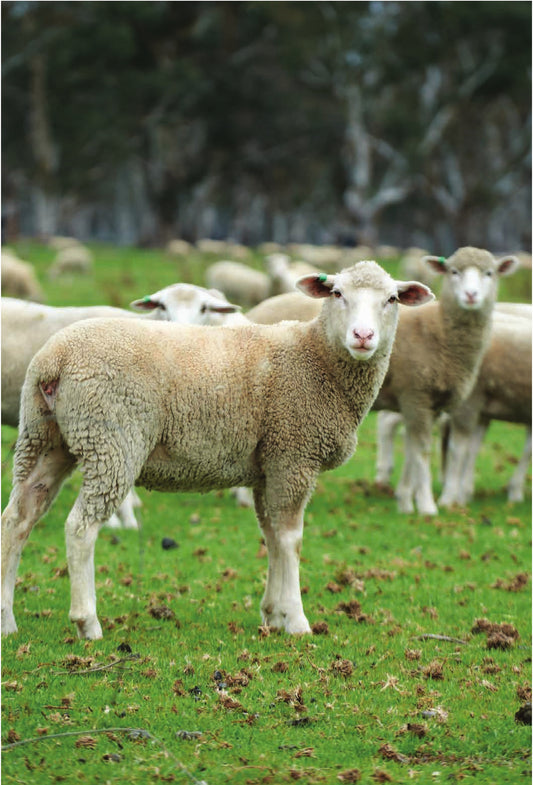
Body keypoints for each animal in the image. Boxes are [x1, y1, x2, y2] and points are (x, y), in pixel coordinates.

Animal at [1, 261, 433, 639]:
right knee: (80, 528)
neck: (316, 358)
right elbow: (290, 539)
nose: (363, 336)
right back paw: (87, 622)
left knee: (17, 519)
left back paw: (7, 621)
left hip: (45, 439)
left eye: (392, 299)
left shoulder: (269, 463)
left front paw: (271, 614)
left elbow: (271, 535)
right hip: (112, 442)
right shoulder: (294, 455)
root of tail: (55, 359)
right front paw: (296, 620)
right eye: (337, 293)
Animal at [372, 247, 520, 515]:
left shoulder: (429, 403)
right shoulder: (415, 394)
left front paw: (406, 501)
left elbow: (411, 450)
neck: (439, 331)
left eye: (489, 273)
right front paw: (427, 506)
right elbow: (422, 451)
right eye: (454, 271)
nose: (471, 295)